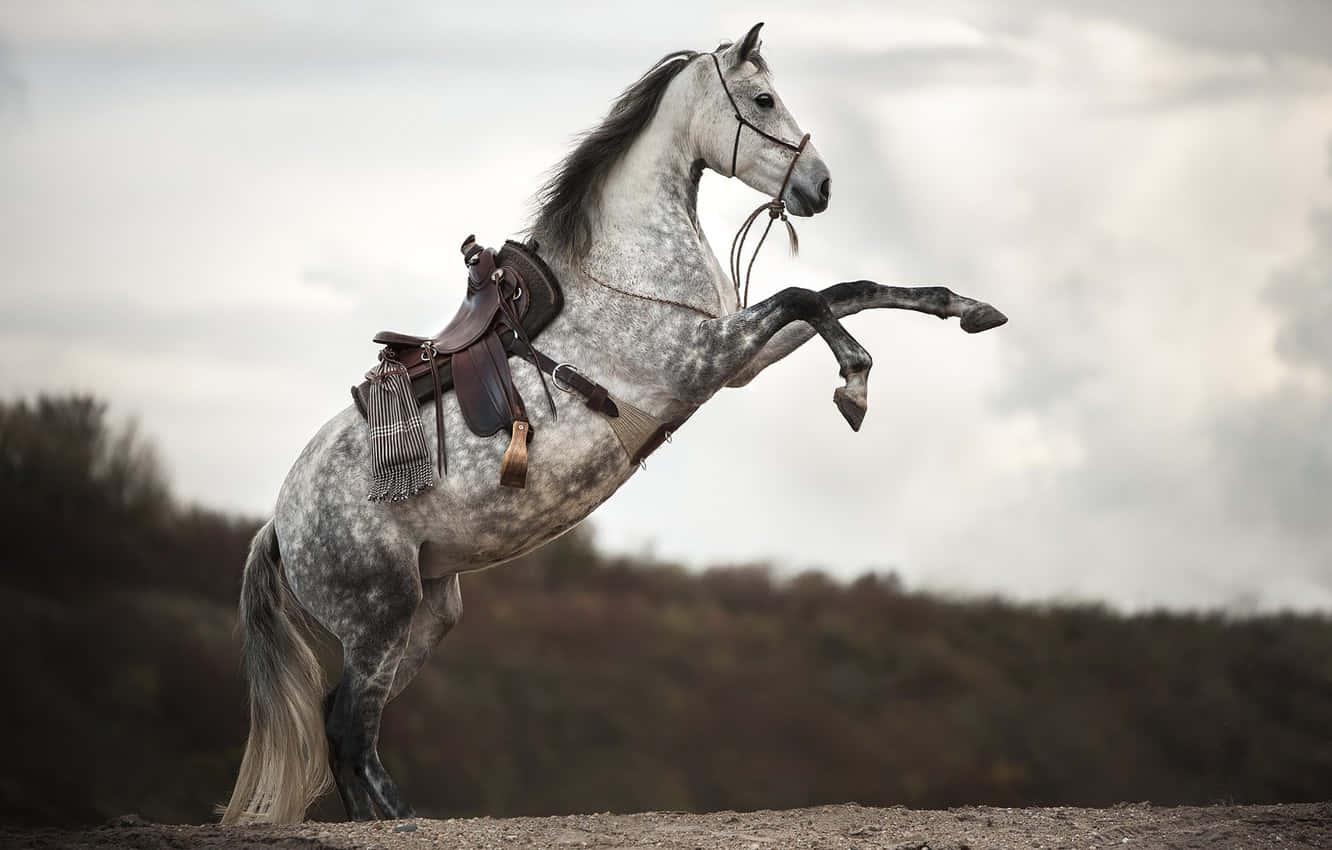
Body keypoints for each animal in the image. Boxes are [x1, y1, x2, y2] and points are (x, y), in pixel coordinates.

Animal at [221, 23, 1008, 825]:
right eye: (762, 99)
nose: (818, 187)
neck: (631, 269)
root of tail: (279, 527)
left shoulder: (738, 358)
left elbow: (847, 289)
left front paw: (967, 308)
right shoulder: (706, 357)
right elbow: (807, 297)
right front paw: (855, 381)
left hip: (425, 616)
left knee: (345, 731)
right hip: (378, 621)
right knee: (350, 732)